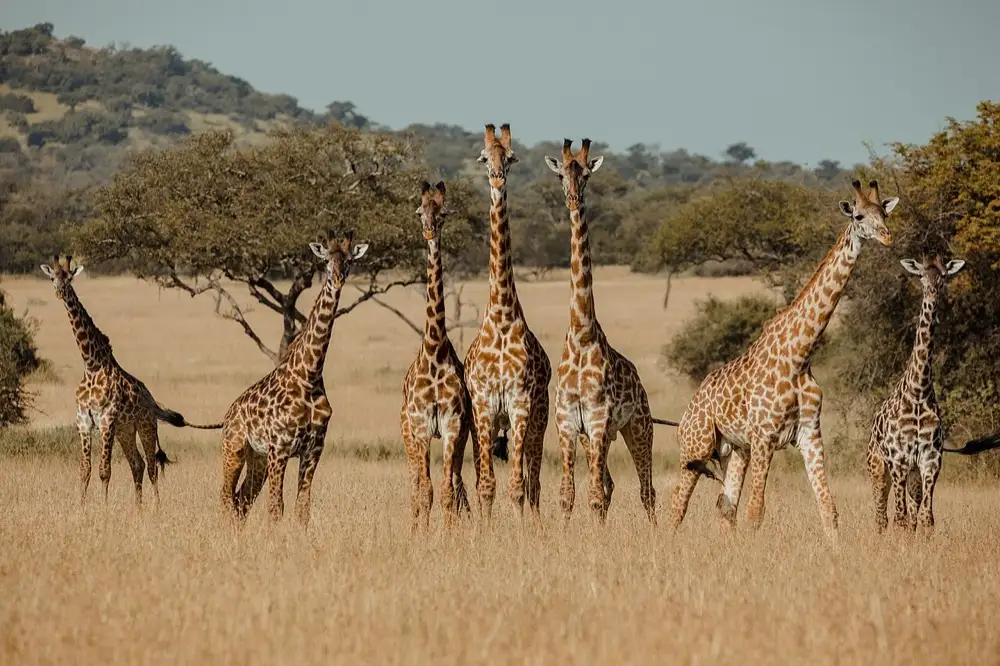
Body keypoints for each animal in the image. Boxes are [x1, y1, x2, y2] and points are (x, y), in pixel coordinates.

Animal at [40, 255, 223, 507]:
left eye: (69, 278)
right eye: (52, 278)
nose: (59, 292)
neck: (92, 365)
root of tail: (153, 401)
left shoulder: (106, 419)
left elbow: (104, 470)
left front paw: (104, 508)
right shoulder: (83, 420)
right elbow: (85, 470)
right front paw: (82, 507)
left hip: (145, 426)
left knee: (151, 467)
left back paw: (156, 507)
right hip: (125, 430)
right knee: (137, 464)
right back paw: (138, 508)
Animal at [219, 231, 369, 525]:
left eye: (349, 261)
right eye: (325, 261)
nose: (337, 280)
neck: (309, 376)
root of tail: (229, 413)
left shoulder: (313, 449)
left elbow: (302, 508)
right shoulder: (280, 448)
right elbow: (276, 508)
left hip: (258, 459)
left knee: (242, 500)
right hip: (234, 449)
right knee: (226, 497)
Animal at [544, 138, 678, 524]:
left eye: (587, 175)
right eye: (561, 174)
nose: (573, 199)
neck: (580, 333)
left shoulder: (600, 419)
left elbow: (593, 496)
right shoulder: (568, 424)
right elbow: (567, 495)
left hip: (639, 428)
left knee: (646, 490)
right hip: (595, 438)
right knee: (609, 485)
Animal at [668, 179, 899, 537]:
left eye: (884, 213)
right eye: (859, 216)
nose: (888, 237)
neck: (800, 355)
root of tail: (688, 409)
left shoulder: (809, 435)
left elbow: (828, 509)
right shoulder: (765, 436)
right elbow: (756, 512)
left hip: (735, 450)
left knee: (725, 506)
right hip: (697, 446)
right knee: (678, 505)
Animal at [866, 255, 965, 534]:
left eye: (943, 276)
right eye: (921, 276)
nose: (932, 294)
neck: (919, 391)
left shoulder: (930, 459)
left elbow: (924, 519)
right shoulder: (899, 460)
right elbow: (899, 519)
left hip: (911, 475)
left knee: (909, 515)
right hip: (878, 469)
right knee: (881, 517)